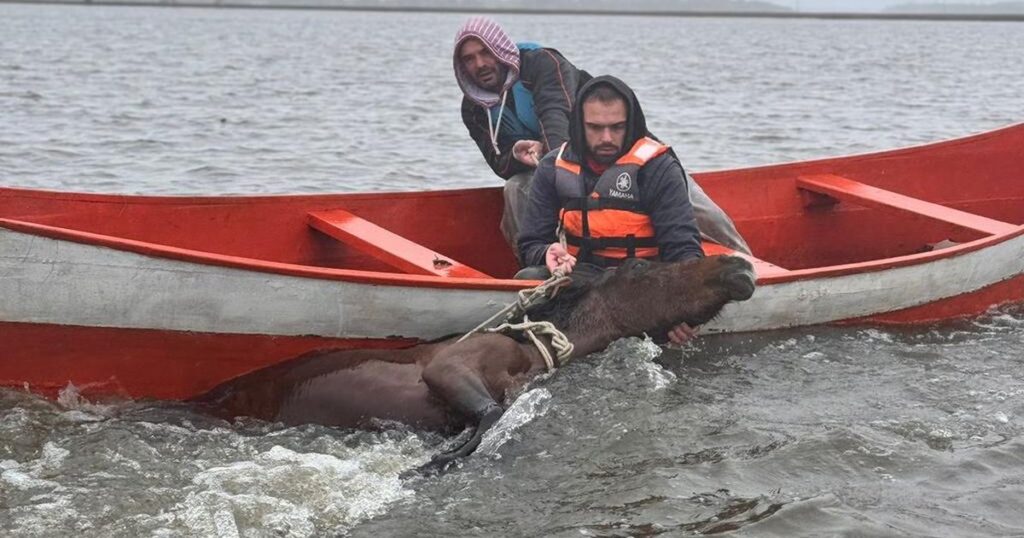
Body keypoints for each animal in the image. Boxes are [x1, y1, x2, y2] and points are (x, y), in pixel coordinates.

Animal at [193, 254, 753, 467]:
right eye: (643, 267)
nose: (739, 266)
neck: (535, 347)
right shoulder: (450, 367)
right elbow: (490, 415)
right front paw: (439, 460)